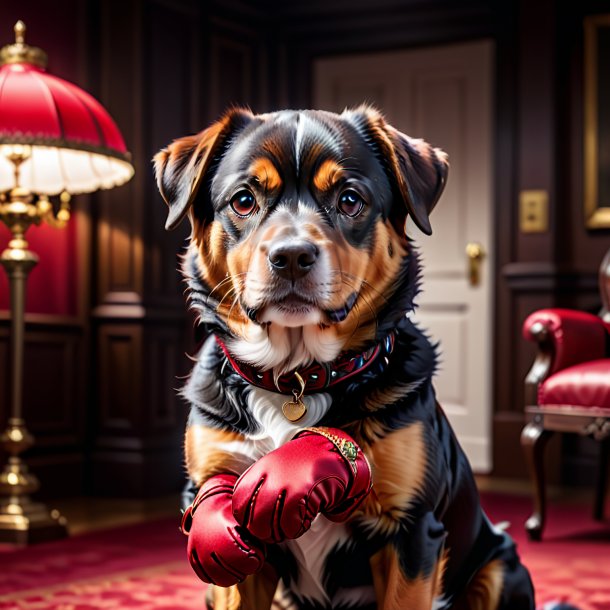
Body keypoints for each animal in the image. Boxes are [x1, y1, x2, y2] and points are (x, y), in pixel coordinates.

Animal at [152, 107, 532, 608]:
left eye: (350, 199)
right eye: (243, 200)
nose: (292, 256)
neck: (296, 376)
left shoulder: (411, 531)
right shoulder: (228, 532)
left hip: (499, 567)